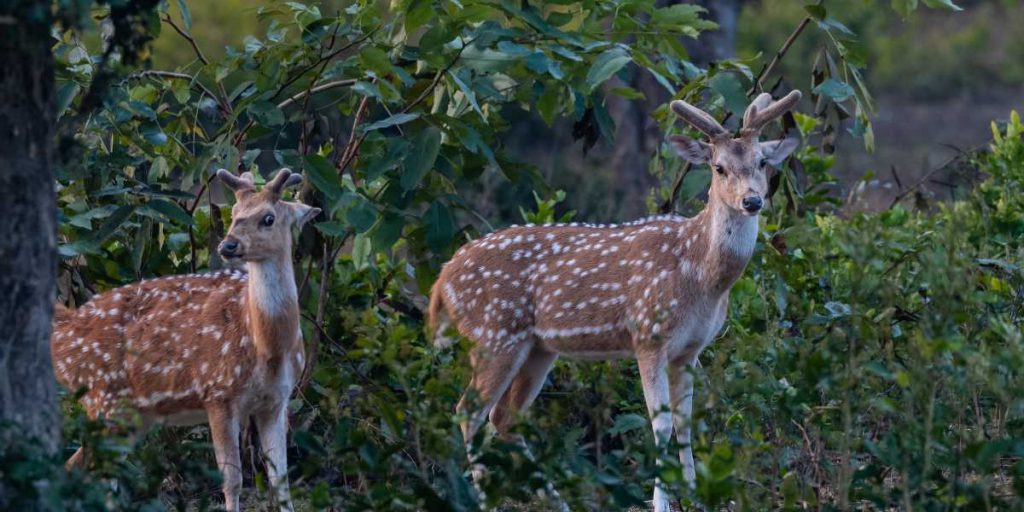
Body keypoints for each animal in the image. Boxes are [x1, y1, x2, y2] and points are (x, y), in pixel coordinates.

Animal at [51, 168, 320, 512]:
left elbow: (281, 481)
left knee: (84, 467)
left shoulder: (277, 400)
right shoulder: (217, 391)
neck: (267, 346)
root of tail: (62, 332)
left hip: (132, 413)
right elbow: (233, 480)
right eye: (234, 213)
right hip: (102, 398)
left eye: (268, 218)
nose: (228, 245)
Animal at [428, 90, 802, 511]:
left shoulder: (690, 349)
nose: (752, 201)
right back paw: (484, 499)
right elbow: (661, 424)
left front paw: (695, 496)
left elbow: (687, 422)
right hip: (494, 333)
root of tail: (442, 280)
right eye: (719, 167)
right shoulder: (648, 334)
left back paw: (559, 502)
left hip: (537, 348)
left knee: (503, 417)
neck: (700, 276)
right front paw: (661, 502)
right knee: (468, 411)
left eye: (762, 161)